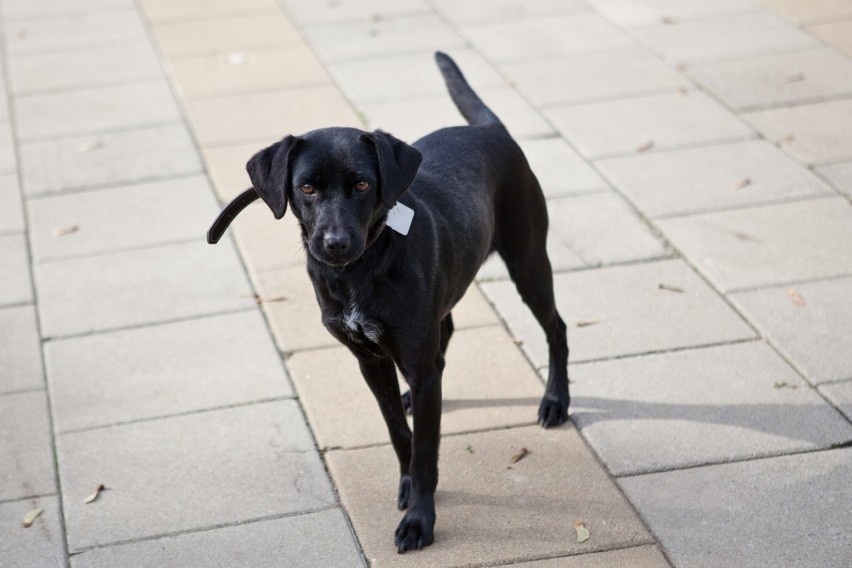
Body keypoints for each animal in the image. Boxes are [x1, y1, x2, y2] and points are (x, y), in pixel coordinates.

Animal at [206, 52, 568, 552]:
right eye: (306, 188)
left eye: (361, 185)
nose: (335, 243)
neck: (359, 273)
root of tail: (490, 130)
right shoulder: (369, 361)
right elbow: (399, 432)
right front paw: (406, 481)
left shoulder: (414, 360)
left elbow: (426, 452)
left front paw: (419, 520)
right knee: (446, 336)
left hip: (528, 261)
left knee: (556, 327)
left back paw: (556, 402)